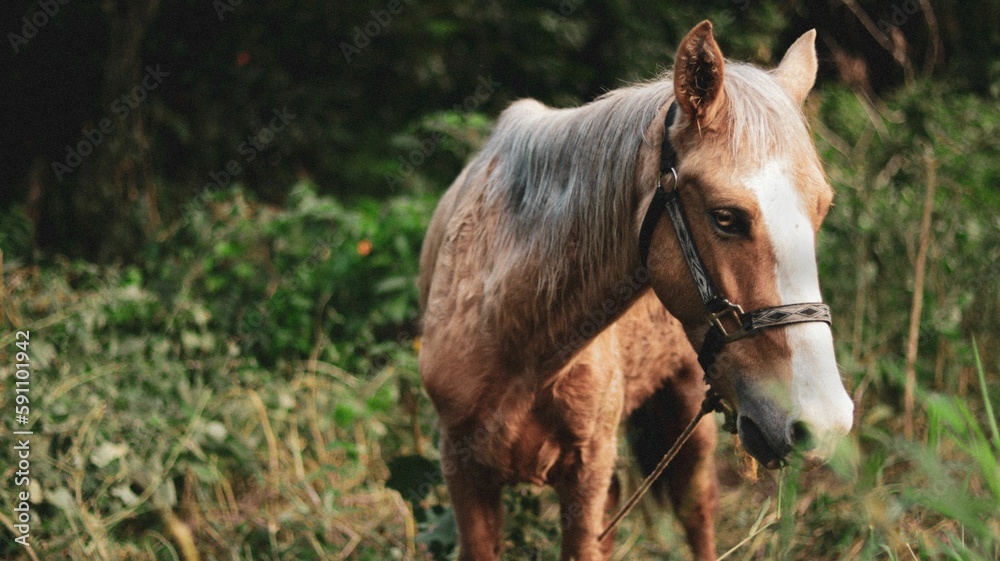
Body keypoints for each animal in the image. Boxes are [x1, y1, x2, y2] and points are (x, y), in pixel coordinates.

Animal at [417, 21, 854, 561]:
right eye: (725, 217)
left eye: (822, 208)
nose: (824, 422)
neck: (514, 332)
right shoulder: (465, 474)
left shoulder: (586, 474)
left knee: (698, 513)